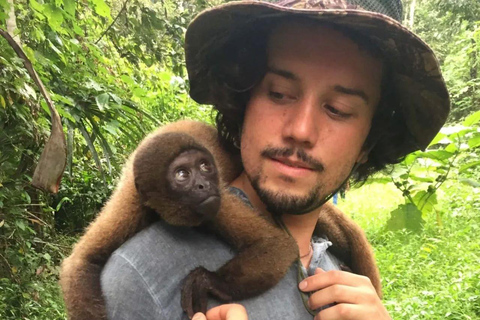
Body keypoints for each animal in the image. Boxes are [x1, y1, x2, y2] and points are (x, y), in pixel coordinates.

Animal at [60, 120, 382, 320]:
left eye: (205, 166)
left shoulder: (220, 201)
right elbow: (82, 261)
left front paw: (207, 280)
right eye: (182, 174)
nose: (204, 185)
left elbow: (276, 243)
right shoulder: (131, 205)